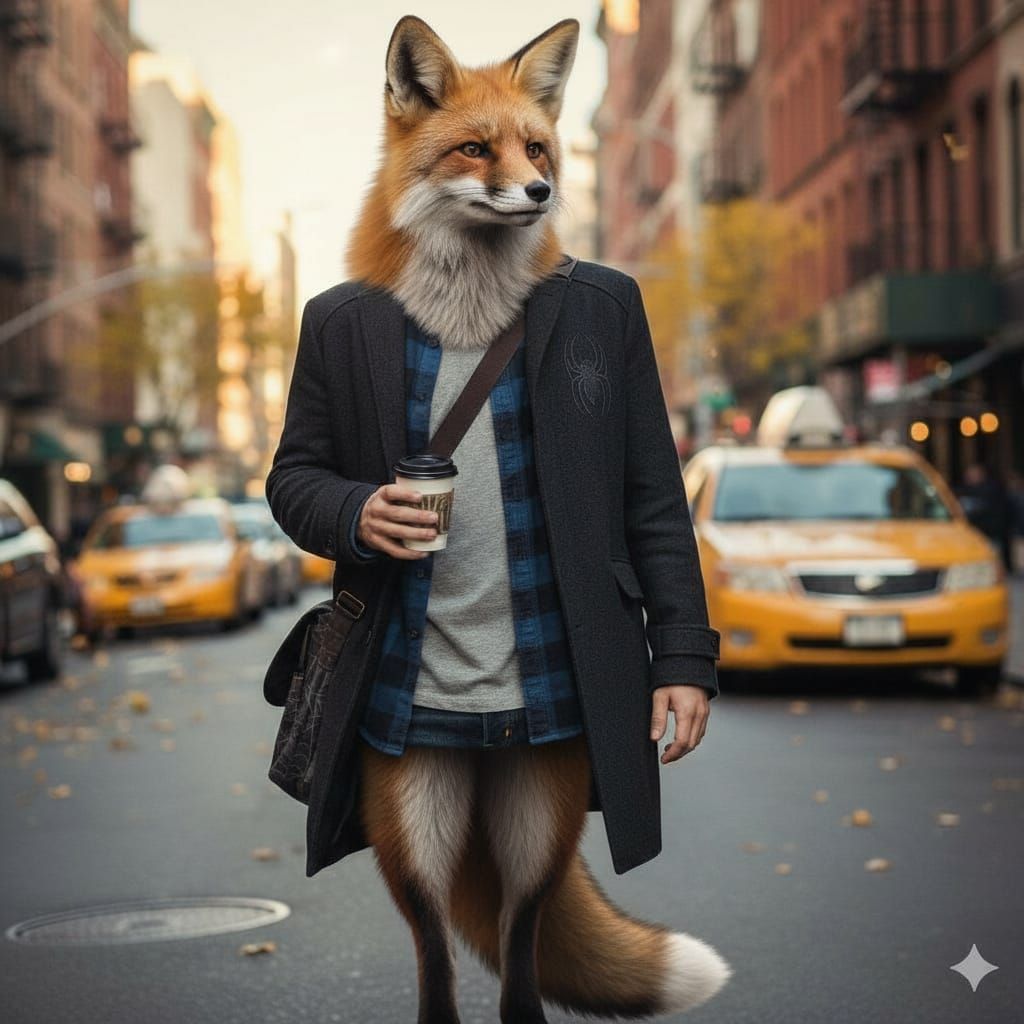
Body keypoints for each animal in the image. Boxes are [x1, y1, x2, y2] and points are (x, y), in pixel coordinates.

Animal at [345, 14, 732, 1024]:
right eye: (475, 149)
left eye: (538, 148)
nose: (544, 191)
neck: (470, 306)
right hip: (413, 810)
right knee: (435, 934)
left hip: (544, 801)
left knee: (522, 927)